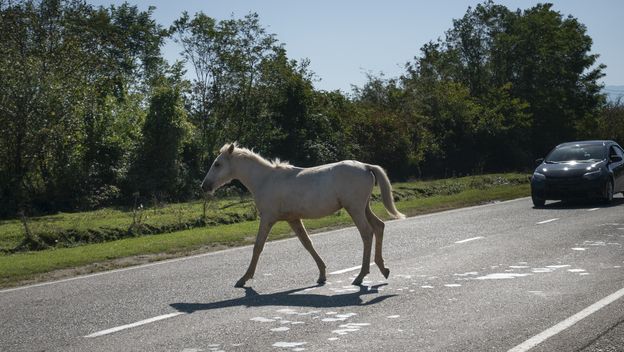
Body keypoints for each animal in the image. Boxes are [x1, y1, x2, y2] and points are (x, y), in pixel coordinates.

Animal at [200, 142, 404, 288]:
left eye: (217, 164)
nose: (204, 186)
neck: (265, 180)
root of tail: (365, 166)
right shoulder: (293, 219)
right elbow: (307, 243)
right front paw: (322, 275)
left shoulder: (267, 218)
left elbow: (258, 247)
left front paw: (243, 279)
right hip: (363, 207)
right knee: (379, 226)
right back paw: (383, 268)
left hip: (355, 208)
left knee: (367, 233)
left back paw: (361, 276)